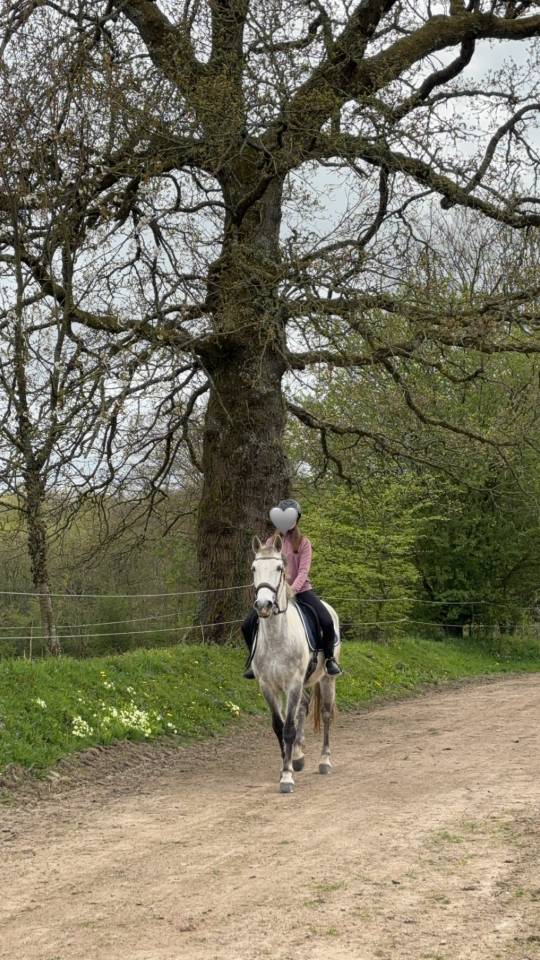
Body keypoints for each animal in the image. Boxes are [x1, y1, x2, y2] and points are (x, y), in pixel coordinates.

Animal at [250, 533, 341, 793]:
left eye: (279, 568)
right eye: (254, 568)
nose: (263, 605)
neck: (277, 637)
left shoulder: (292, 684)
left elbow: (288, 728)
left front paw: (287, 777)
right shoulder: (268, 687)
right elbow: (279, 727)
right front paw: (287, 764)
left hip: (327, 679)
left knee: (326, 714)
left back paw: (324, 761)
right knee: (303, 708)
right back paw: (299, 756)